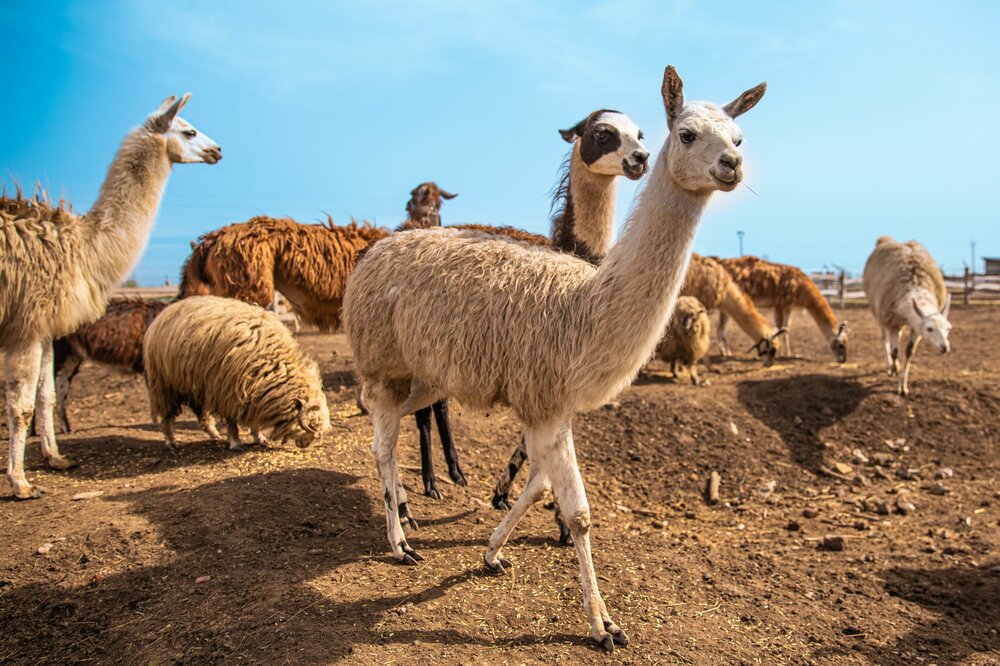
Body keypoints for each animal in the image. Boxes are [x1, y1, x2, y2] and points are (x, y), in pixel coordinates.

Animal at [143, 296, 331, 451]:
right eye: (313, 424)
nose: (306, 444)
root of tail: (165, 311)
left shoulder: (252, 393)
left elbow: (254, 419)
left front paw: (260, 438)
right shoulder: (227, 390)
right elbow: (232, 420)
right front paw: (235, 442)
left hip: (194, 384)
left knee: (201, 413)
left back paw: (214, 434)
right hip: (163, 383)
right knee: (167, 414)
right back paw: (171, 441)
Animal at [862, 236, 952, 396]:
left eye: (948, 329)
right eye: (930, 329)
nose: (945, 347)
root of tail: (885, 239)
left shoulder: (916, 327)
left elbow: (909, 352)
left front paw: (903, 386)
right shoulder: (891, 322)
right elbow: (894, 351)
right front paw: (894, 370)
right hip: (878, 313)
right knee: (885, 339)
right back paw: (890, 366)